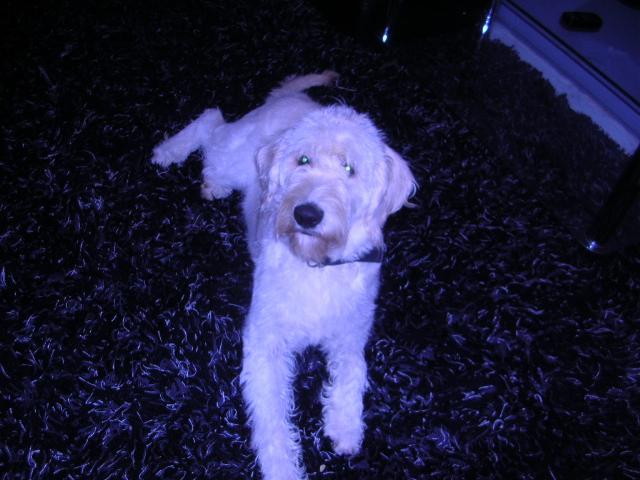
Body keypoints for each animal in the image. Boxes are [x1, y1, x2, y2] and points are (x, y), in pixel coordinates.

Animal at [151, 71, 416, 480]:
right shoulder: (265, 341)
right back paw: (170, 152)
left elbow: (354, 372)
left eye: (350, 169)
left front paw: (345, 428)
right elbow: (272, 417)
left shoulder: (350, 335)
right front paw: (283, 467)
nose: (306, 214)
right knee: (212, 123)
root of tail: (290, 100)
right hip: (233, 156)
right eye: (303, 159)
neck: (316, 267)